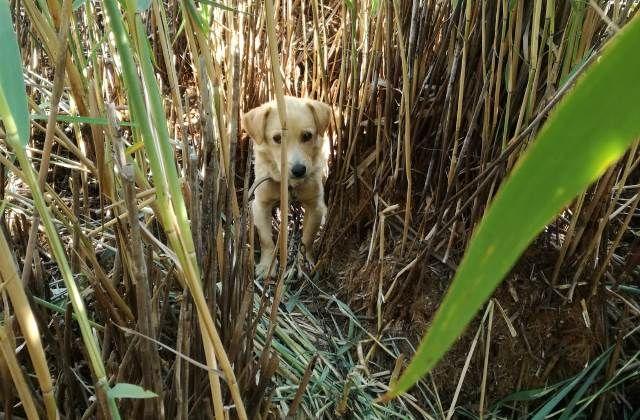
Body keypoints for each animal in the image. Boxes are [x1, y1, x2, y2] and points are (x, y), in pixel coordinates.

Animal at [242, 96, 332, 277]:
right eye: (277, 138)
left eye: (307, 135)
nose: (299, 170)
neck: (290, 185)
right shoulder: (260, 205)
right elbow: (266, 240)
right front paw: (267, 266)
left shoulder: (315, 206)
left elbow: (307, 239)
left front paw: (304, 263)